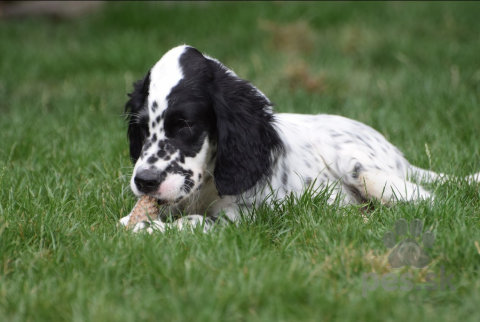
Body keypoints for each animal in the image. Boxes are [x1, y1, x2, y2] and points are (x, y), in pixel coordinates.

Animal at [119, 44, 476, 231]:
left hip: (361, 167)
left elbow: (195, 221)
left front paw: (147, 228)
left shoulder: (246, 217)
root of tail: (400, 158)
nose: (145, 181)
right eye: (141, 127)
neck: (210, 180)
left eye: (186, 125)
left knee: (427, 199)